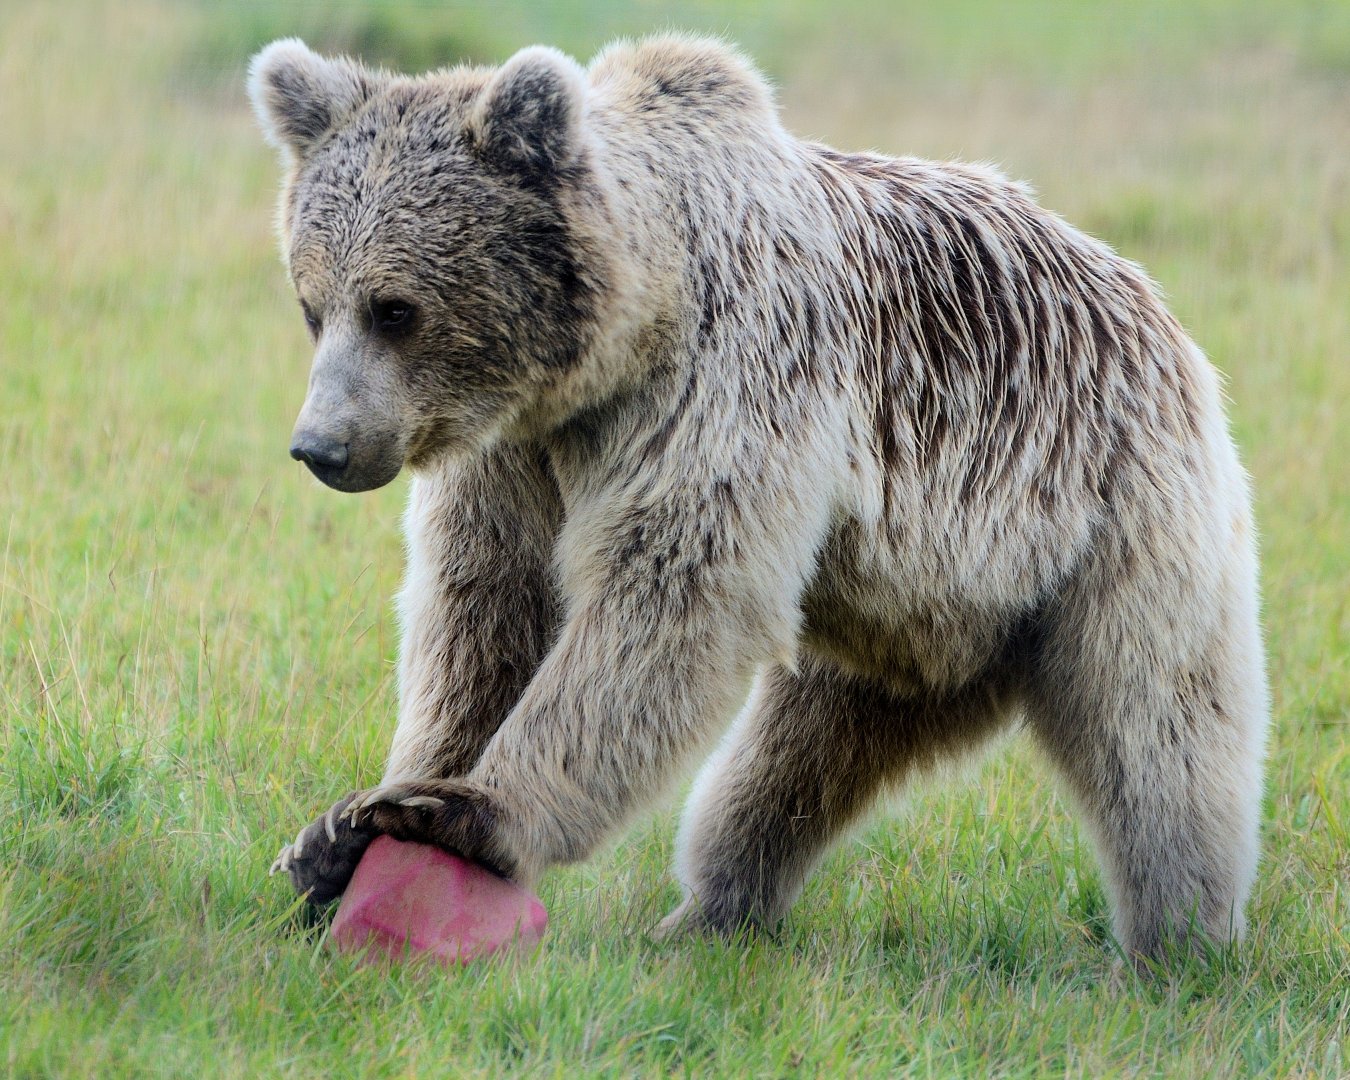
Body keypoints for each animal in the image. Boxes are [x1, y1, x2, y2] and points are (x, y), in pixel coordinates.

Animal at [249, 34, 1268, 964]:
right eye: (312, 303)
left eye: (396, 308)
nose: (321, 447)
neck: (616, 347)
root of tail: (1155, 309)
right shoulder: (518, 454)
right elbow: (486, 608)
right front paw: (347, 827)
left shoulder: (729, 386)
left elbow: (664, 599)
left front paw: (465, 812)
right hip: (903, 618)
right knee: (798, 760)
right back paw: (712, 911)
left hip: (1108, 513)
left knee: (1158, 731)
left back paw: (1181, 943)